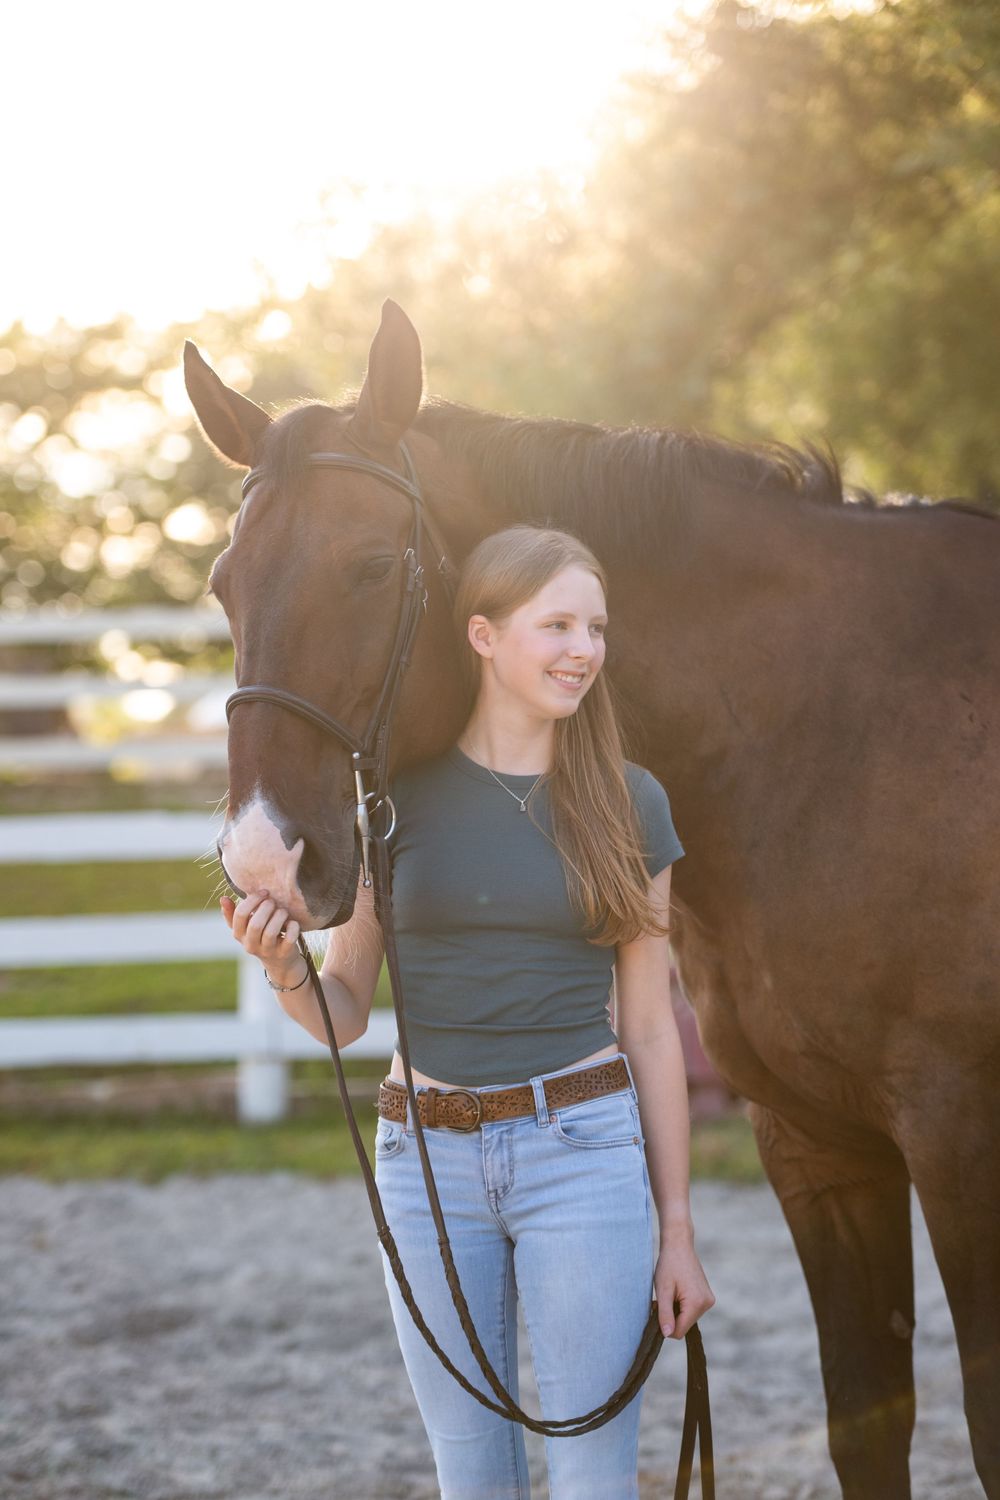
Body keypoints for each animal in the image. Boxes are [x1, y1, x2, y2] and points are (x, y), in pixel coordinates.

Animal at [185, 298, 1000, 1500]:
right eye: (224, 583)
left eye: (373, 567)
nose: (262, 862)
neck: (841, 733)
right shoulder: (816, 1143)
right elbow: (866, 1422)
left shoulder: (961, 1143)